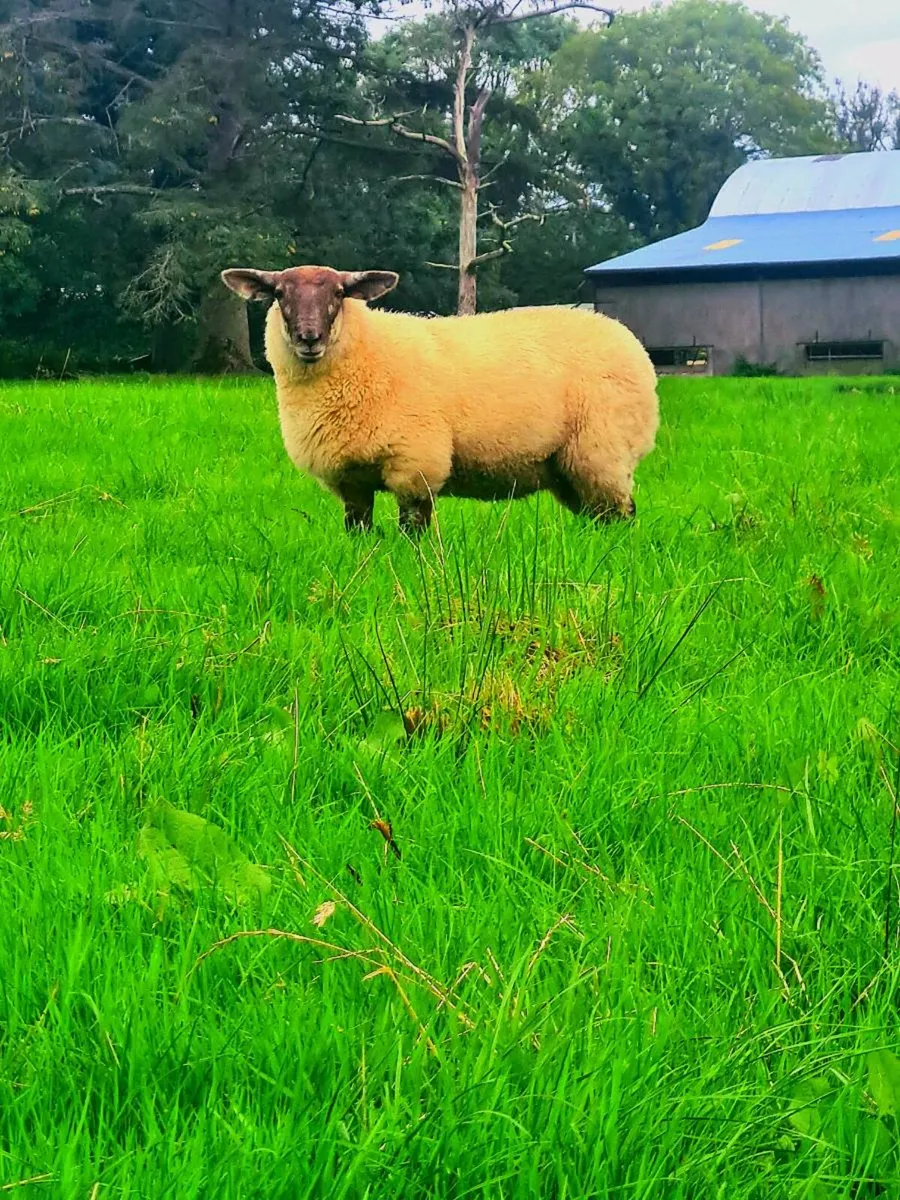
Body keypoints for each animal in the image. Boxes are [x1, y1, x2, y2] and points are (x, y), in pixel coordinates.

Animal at [220, 265, 659, 535]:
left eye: (341, 292)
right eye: (279, 293)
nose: (309, 337)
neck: (367, 354)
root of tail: (630, 341)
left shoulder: (415, 462)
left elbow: (412, 529)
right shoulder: (351, 479)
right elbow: (358, 530)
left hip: (602, 451)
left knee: (623, 514)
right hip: (568, 466)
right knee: (599, 516)